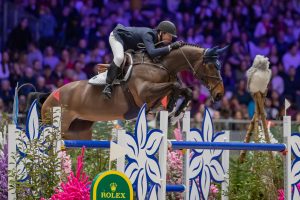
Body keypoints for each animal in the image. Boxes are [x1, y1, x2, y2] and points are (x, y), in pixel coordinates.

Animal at [31, 42, 226, 139]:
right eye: (211, 66)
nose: (219, 94)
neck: (161, 64)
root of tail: (49, 97)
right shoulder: (145, 92)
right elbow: (177, 87)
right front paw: (173, 111)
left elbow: (185, 91)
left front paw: (175, 113)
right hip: (57, 125)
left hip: (79, 130)